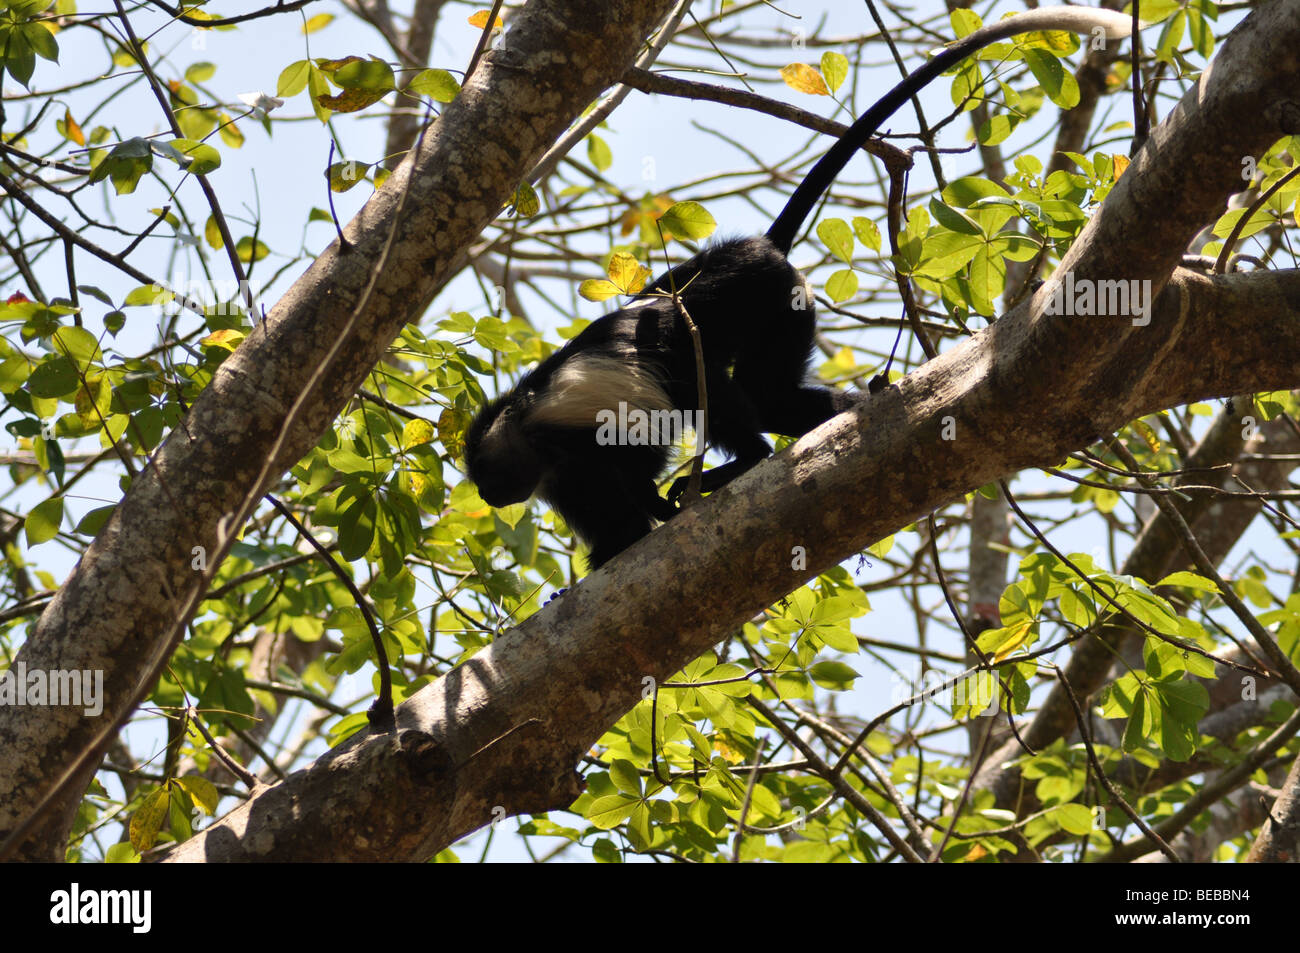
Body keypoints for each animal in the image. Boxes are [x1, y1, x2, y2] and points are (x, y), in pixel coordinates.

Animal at [465, 7, 1128, 569]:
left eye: (486, 479)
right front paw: (615, 546)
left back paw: (741, 463)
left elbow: (641, 439)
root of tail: (753, 248)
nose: (492, 499)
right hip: (785, 308)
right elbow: (607, 502)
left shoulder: (570, 421)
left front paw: (656, 506)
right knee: (770, 394)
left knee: (705, 386)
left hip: (746, 298)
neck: (526, 423)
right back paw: (851, 409)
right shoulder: (561, 475)